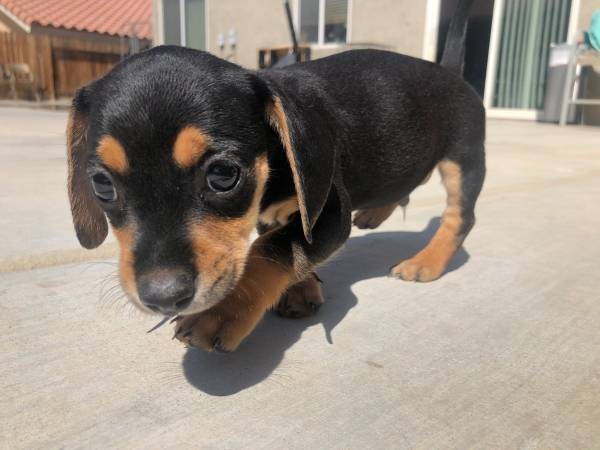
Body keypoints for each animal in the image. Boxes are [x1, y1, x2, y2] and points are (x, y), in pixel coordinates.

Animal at [68, 0, 486, 352]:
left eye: (223, 175)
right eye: (102, 185)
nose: (163, 297)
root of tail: (449, 71)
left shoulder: (327, 211)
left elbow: (271, 250)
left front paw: (222, 311)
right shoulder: (279, 215)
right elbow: (283, 242)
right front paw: (302, 289)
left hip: (463, 159)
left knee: (461, 217)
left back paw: (426, 262)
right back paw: (375, 213)